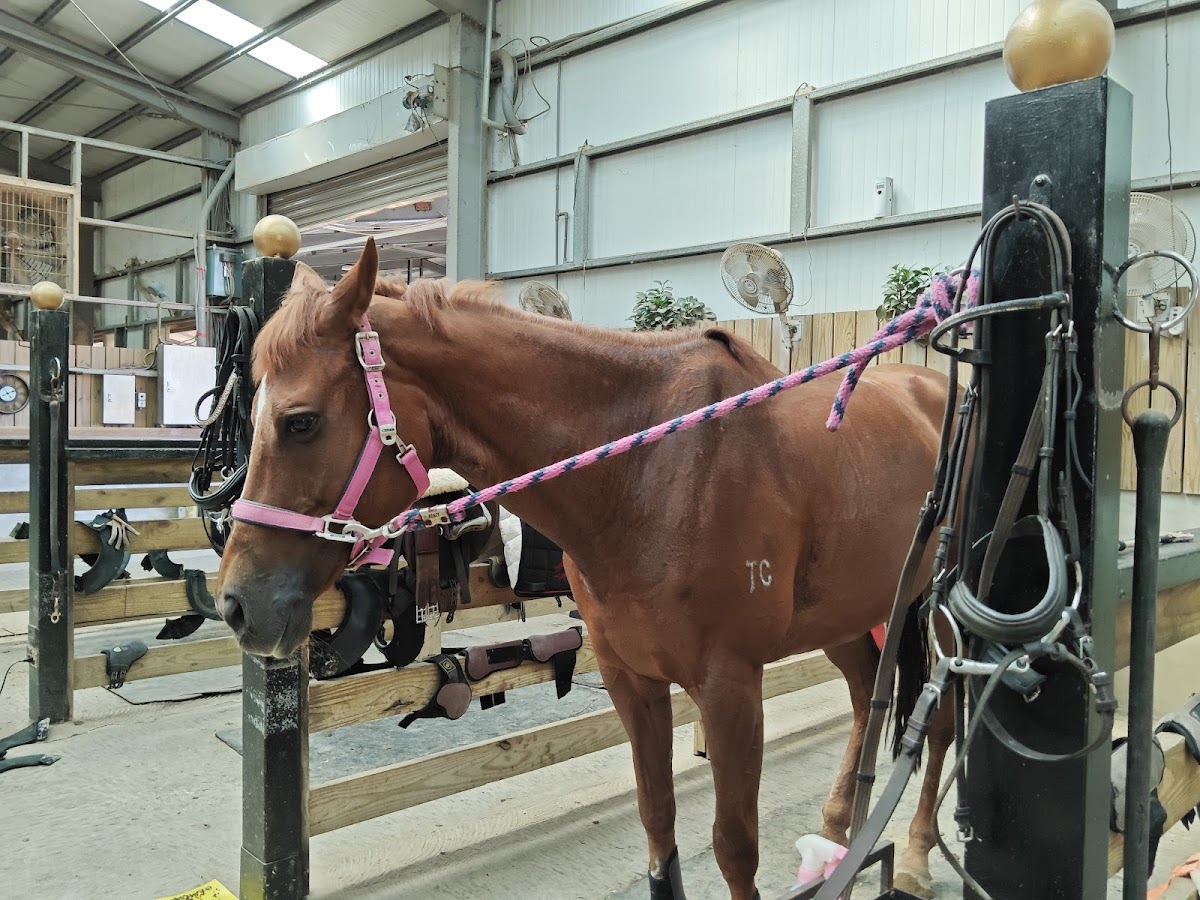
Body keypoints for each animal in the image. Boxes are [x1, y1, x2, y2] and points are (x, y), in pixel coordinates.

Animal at [215, 238, 957, 900]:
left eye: (301, 421)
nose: (238, 605)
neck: (653, 471)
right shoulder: (631, 679)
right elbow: (658, 825)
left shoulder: (729, 688)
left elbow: (733, 848)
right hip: (851, 617)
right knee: (865, 697)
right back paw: (839, 838)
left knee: (942, 724)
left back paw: (918, 855)